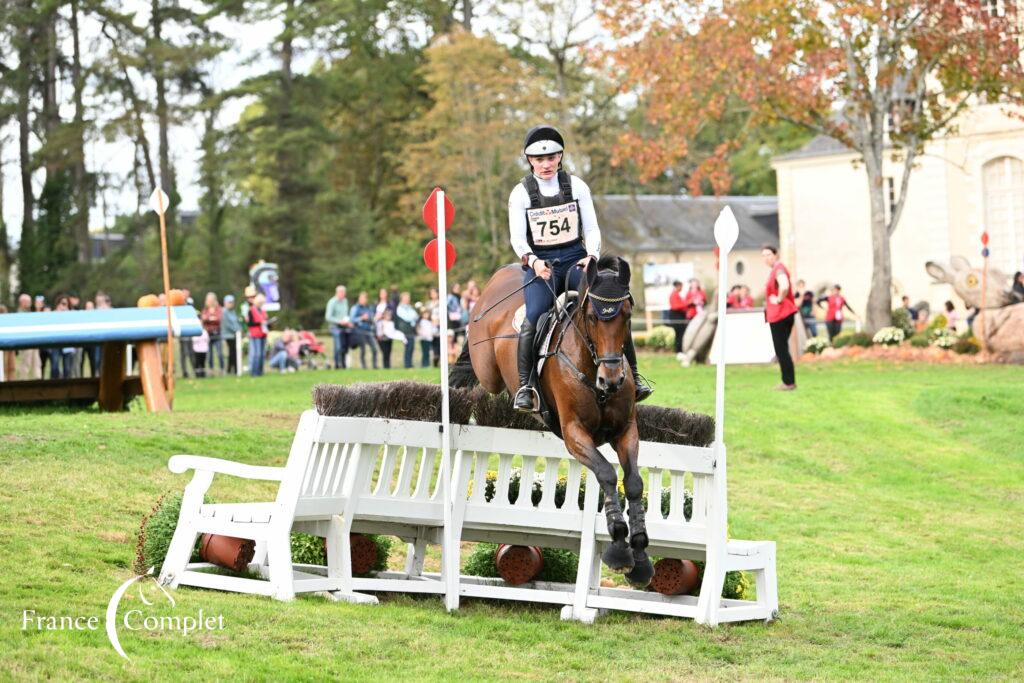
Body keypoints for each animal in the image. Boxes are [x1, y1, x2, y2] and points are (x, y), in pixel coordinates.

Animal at [452, 255, 651, 589]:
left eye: (626, 316)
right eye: (593, 317)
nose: (612, 380)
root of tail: (500, 275)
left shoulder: (626, 431)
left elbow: (634, 482)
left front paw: (640, 554)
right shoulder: (574, 434)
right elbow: (607, 474)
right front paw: (619, 547)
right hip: (489, 369)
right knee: (482, 373)